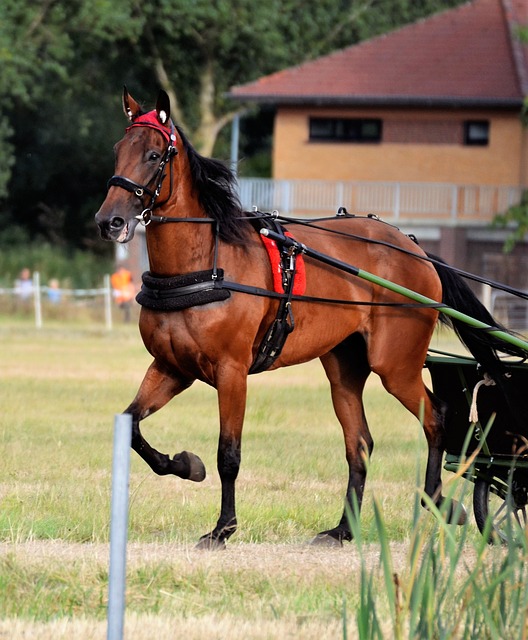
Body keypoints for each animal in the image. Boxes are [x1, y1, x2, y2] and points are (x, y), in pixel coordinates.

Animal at [95, 91, 524, 552]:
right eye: (117, 151)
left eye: (154, 154)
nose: (109, 221)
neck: (204, 265)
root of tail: (414, 248)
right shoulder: (172, 367)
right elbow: (131, 426)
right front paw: (185, 464)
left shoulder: (232, 371)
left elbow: (229, 454)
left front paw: (223, 527)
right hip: (344, 367)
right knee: (360, 444)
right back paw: (343, 528)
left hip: (395, 364)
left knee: (436, 417)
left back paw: (439, 500)